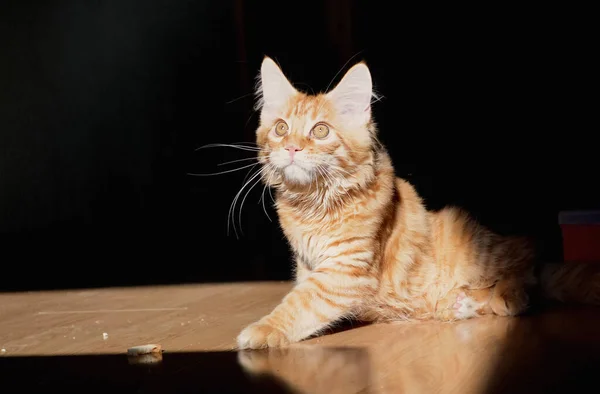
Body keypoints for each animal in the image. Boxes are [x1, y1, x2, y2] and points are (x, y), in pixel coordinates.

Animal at [237, 56, 596, 348]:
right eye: (281, 129)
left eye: (321, 131)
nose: (291, 148)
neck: (314, 203)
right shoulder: (309, 266)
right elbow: (304, 299)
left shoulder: (347, 270)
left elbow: (301, 303)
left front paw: (262, 330)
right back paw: (459, 304)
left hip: (476, 243)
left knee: (528, 271)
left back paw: (497, 296)